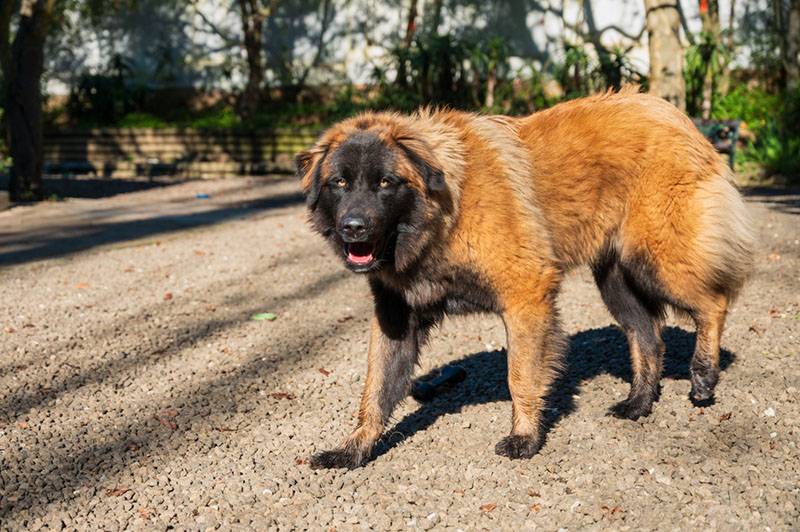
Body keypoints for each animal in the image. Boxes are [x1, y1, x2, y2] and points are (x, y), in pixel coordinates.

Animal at [296, 87, 752, 470]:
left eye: (385, 183)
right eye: (340, 182)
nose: (353, 228)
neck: (444, 215)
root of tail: (676, 115)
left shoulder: (526, 294)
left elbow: (520, 376)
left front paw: (525, 437)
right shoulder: (396, 317)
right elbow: (374, 391)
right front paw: (354, 449)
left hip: (656, 258)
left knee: (713, 303)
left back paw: (703, 375)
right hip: (616, 280)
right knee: (649, 336)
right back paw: (638, 403)